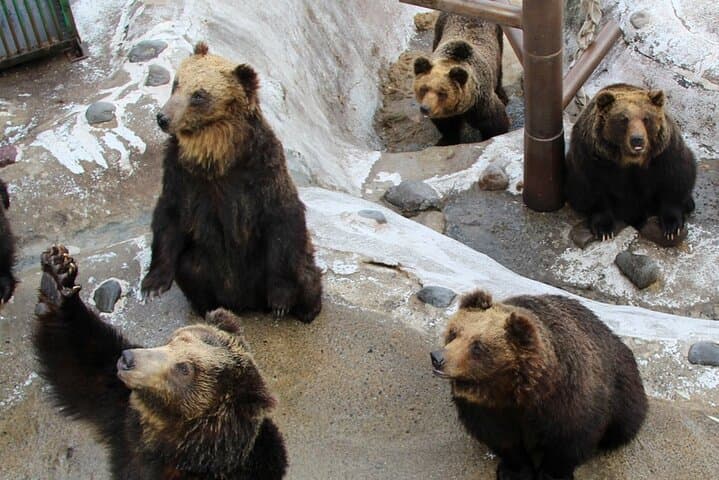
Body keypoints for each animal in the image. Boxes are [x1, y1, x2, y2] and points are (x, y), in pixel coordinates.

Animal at [33, 246, 288, 480]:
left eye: (184, 369)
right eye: (173, 339)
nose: (128, 359)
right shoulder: (122, 417)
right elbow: (81, 361)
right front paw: (57, 275)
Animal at [142, 42, 322, 323]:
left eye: (199, 95)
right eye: (177, 83)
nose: (163, 117)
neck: (217, 155)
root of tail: (247, 303)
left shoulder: (262, 169)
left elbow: (282, 217)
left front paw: (281, 301)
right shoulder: (180, 173)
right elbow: (169, 215)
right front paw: (153, 285)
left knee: (304, 271)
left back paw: (306, 310)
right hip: (208, 267)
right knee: (191, 268)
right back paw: (208, 307)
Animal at [413, 12, 510, 146]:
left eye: (442, 93)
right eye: (423, 89)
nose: (425, 108)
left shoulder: (481, 105)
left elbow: (496, 123)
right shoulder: (444, 113)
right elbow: (447, 126)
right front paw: (445, 140)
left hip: (497, 32)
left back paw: (503, 95)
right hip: (440, 27)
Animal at [430, 290, 647, 480]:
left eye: (477, 346)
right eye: (454, 333)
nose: (437, 358)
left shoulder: (569, 398)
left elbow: (571, 439)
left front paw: (553, 473)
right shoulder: (485, 407)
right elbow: (501, 438)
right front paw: (515, 472)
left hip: (624, 387)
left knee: (625, 425)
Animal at [564, 83, 697, 242]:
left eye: (646, 118)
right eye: (623, 119)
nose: (637, 139)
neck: (631, 159)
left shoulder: (664, 154)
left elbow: (675, 179)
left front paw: (672, 227)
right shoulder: (593, 159)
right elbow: (592, 189)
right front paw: (603, 228)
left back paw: (689, 203)